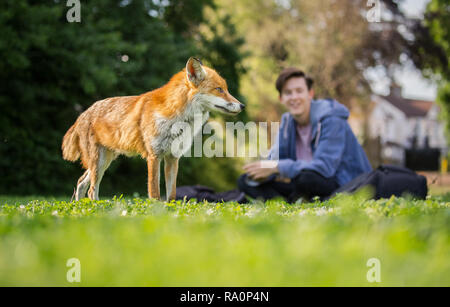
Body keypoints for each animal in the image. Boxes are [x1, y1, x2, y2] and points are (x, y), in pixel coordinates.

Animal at [62, 57, 244, 202]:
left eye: (226, 89)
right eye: (219, 90)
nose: (242, 105)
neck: (178, 121)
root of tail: (84, 112)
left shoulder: (173, 157)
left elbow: (172, 194)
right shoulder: (154, 155)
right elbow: (155, 192)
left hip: (105, 160)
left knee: (81, 183)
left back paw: (80, 208)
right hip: (99, 162)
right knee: (91, 190)